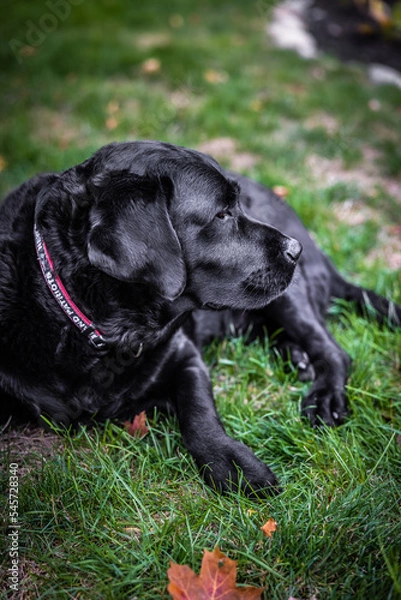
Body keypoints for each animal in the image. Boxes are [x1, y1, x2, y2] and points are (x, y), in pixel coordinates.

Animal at [0, 142, 398, 496]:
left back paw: (324, 395)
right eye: (221, 214)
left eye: (236, 206)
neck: (104, 331)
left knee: (333, 351)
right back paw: (296, 357)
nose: (294, 249)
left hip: (291, 296)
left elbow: (198, 411)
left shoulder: (185, 355)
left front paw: (233, 464)